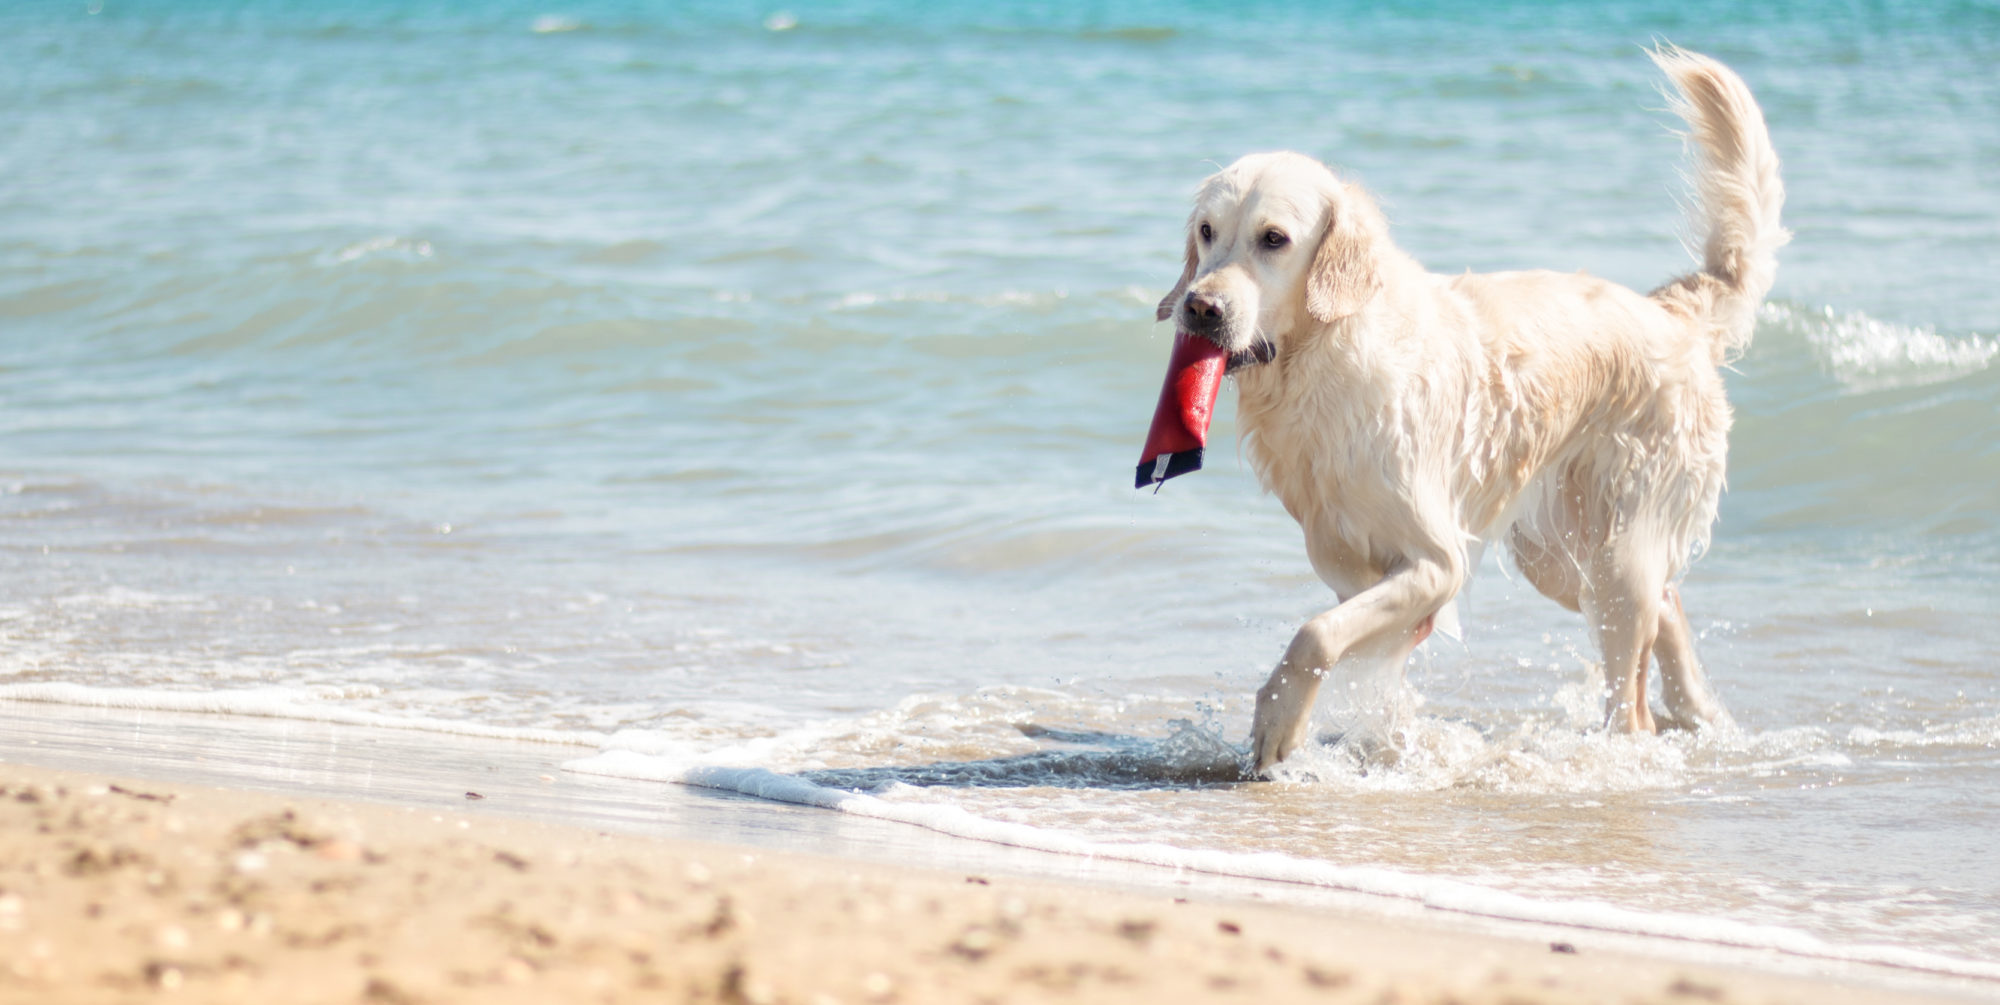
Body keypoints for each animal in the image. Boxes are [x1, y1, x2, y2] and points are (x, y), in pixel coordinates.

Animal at [1152, 47, 1792, 772]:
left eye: (1274, 239)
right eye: (1207, 232)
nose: (1200, 307)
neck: (1324, 356)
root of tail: (1671, 312)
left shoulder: (1438, 560)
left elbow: (1316, 633)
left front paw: (1281, 721)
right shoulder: (1346, 558)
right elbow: (1360, 642)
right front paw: (1386, 738)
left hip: (1616, 555)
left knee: (1633, 702)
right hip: (1561, 557)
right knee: (1668, 602)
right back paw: (1700, 714)